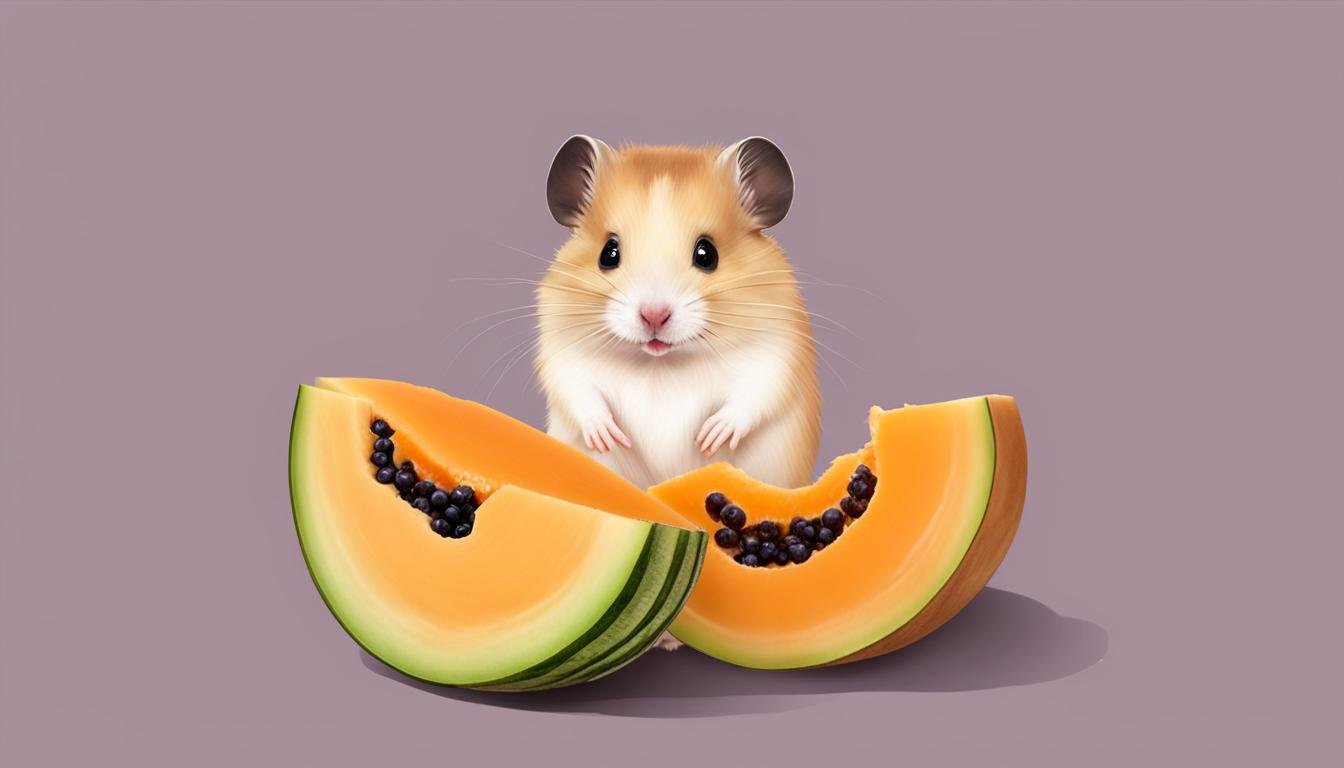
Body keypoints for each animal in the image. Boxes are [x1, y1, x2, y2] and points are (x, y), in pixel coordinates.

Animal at [535, 135, 822, 493]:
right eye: (608, 253)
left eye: (706, 254)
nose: (654, 316)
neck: (661, 363)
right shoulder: (561, 350)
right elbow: (578, 389)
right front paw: (607, 437)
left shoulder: (777, 351)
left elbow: (753, 394)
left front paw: (710, 437)